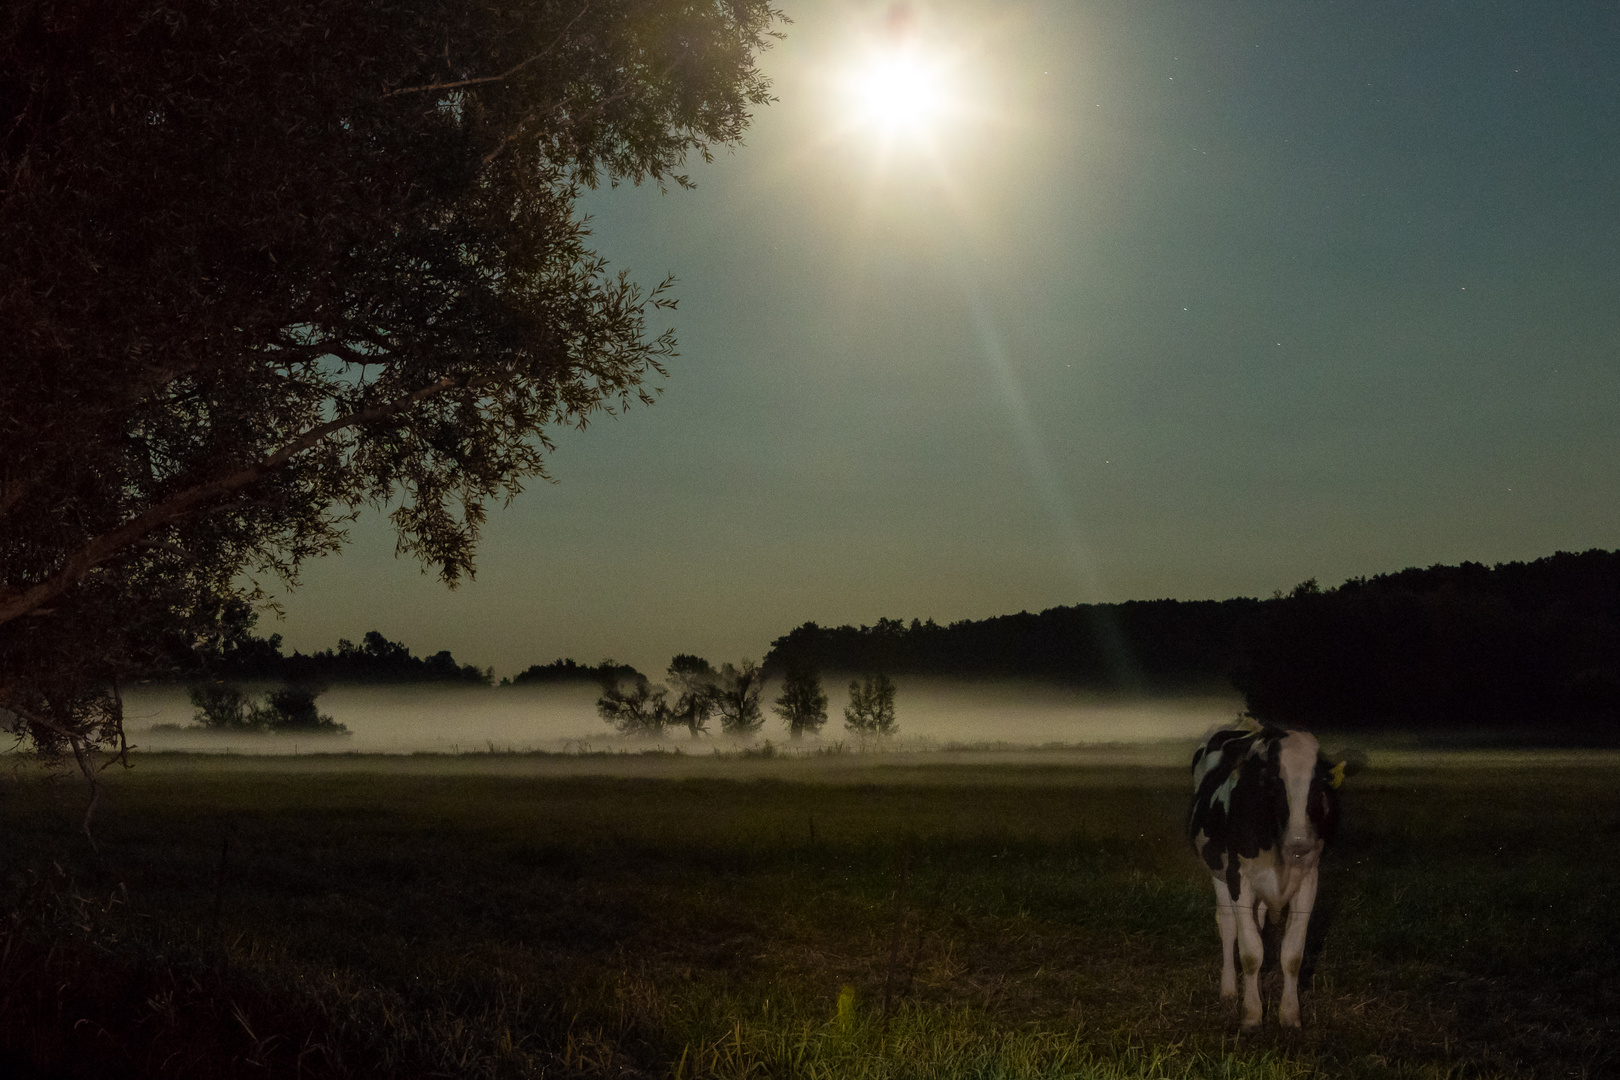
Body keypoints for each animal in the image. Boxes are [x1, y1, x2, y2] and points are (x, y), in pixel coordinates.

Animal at [1192, 722, 1341, 1029]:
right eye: (1273, 782)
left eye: (1318, 785)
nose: (1299, 841)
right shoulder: (1239, 879)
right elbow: (1250, 952)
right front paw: (1251, 1015)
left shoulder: (1309, 881)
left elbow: (1292, 954)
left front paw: (1289, 1015)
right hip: (1218, 873)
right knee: (1228, 926)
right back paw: (1229, 991)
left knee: (1257, 924)